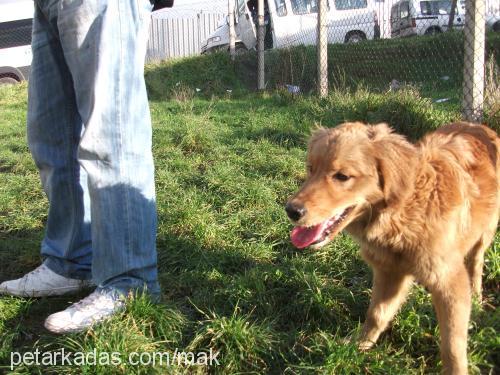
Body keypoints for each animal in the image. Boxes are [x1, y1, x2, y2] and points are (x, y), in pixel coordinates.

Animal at [286, 122, 500, 374]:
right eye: (311, 169)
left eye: (342, 176)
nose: (291, 210)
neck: (406, 214)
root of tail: (479, 125)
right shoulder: (389, 272)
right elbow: (376, 314)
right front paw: (360, 344)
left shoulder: (450, 283)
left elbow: (452, 344)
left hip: (485, 232)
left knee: (476, 262)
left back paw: (477, 296)